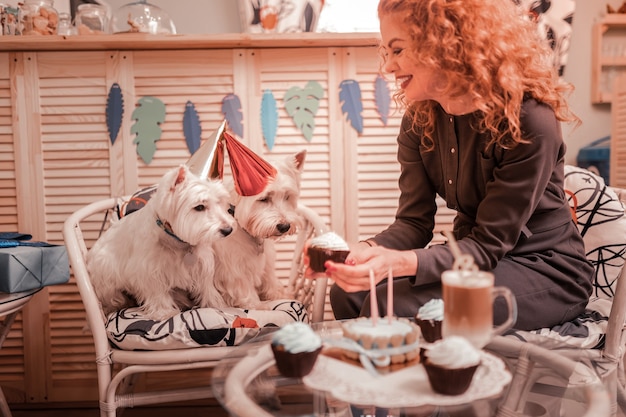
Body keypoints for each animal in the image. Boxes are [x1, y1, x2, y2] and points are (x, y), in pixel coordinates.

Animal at [85, 164, 234, 320]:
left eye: (219, 202)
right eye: (199, 207)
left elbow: (207, 287)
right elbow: (157, 292)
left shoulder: (202, 265)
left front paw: (216, 304)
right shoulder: (148, 270)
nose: (228, 230)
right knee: (114, 300)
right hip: (107, 281)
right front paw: (165, 312)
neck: (177, 241)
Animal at [211, 150, 306, 306]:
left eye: (287, 196)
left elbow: (271, 280)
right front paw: (260, 306)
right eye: (264, 199)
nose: (285, 226)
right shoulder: (232, 272)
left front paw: (282, 295)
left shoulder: (266, 263)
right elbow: (246, 293)